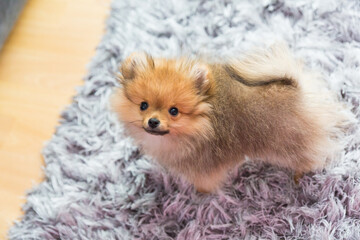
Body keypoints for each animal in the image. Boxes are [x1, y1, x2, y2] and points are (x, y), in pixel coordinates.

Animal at [111, 43, 350, 193]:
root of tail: (297, 89)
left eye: (174, 111)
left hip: (289, 145)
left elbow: (204, 183)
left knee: (311, 156)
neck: (201, 125)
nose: (153, 121)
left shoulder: (203, 167)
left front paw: (200, 194)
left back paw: (300, 174)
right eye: (143, 106)